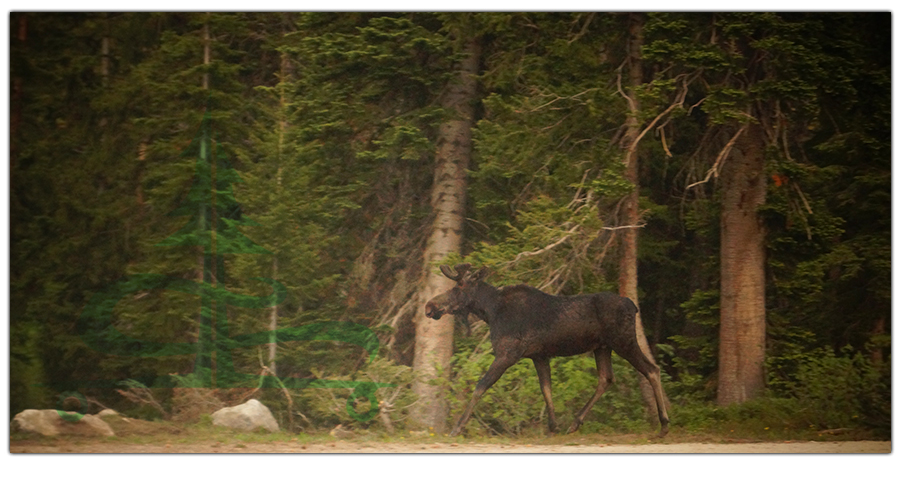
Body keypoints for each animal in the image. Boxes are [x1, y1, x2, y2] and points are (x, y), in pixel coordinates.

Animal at [424, 264, 668, 436]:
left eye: (459, 287)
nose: (429, 306)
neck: (490, 312)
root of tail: (633, 307)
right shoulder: (539, 355)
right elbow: (546, 389)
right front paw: (553, 426)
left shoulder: (507, 354)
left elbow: (480, 386)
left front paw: (457, 427)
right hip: (602, 347)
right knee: (606, 378)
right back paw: (575, 422)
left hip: (623, 341)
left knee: (652, 369)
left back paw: (664, 425)